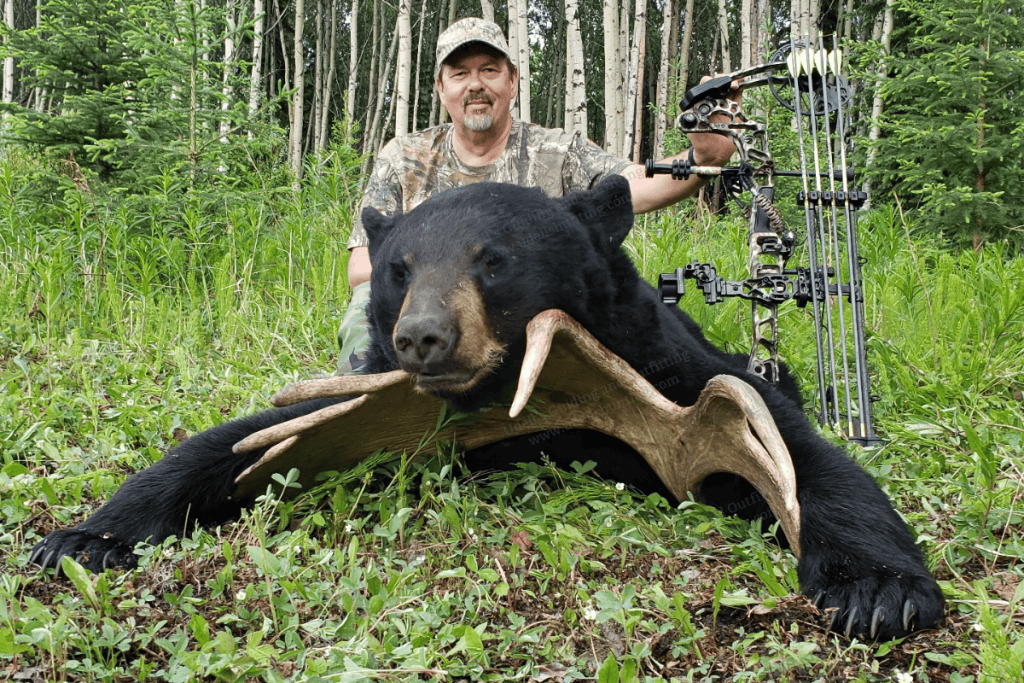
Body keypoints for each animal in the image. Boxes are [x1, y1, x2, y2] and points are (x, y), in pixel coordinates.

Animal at [29, 176, 944, 641]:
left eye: (493, 259)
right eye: (398, 267)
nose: (423, 337)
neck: (511, 396)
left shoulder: (671, 372)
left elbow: (794, 451)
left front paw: (878, 588)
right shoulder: (354, 399)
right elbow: (235, 441)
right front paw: (84, 535)